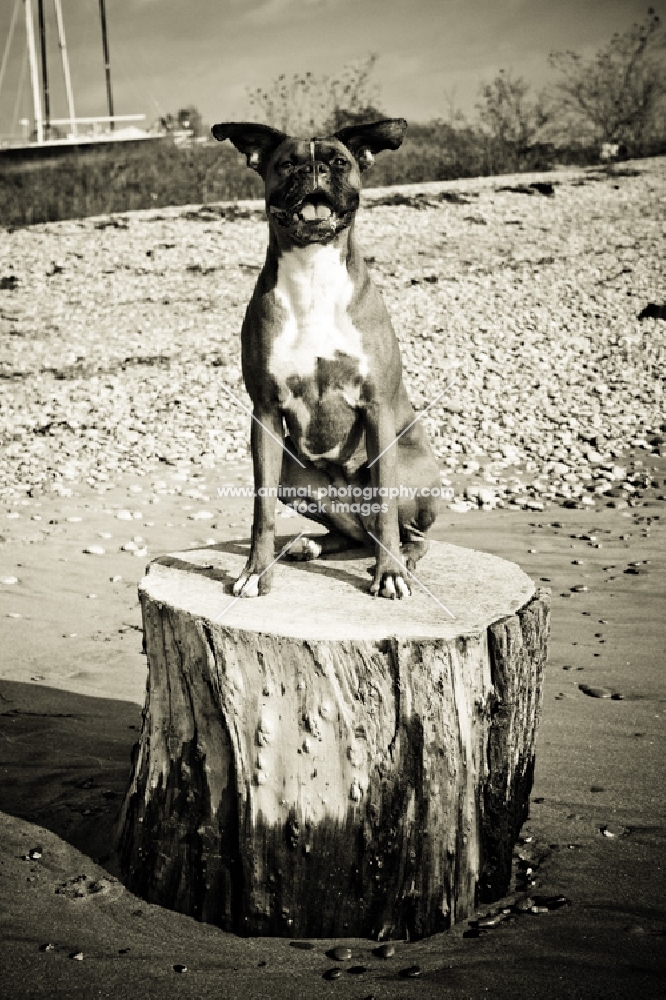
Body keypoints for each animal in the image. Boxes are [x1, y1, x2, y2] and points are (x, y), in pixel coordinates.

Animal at [213, 120, 438, 596]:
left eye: (338, 161)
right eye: (287, 164)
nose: (314, 170)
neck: (313, 270)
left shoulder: (376, 408)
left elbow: (387, 511)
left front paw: (390, 575)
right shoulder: (264, 413)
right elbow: (261, 512)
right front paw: (255, 571)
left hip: (412, 474)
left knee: (407, 534)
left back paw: (401, 562)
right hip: (293, 478)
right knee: (352, 534)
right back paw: (310, 545)